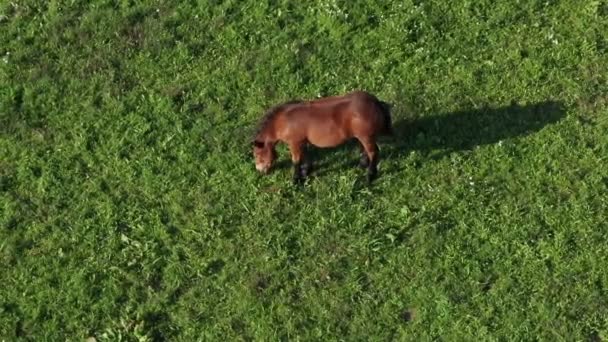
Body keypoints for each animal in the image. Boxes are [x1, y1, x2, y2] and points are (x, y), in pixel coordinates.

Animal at [252, 90, 394, 182]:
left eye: (257, 154)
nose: (259, 170)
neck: (283, 121)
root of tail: (374, 102)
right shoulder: (302, 142)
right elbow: (305, 156)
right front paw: (306, 171)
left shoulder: (294, 143)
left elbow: (296, 160)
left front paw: (296, 179)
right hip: (363, 137)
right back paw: (363, 164)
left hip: (366, 137)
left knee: (373, 152)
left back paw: (370, 176)